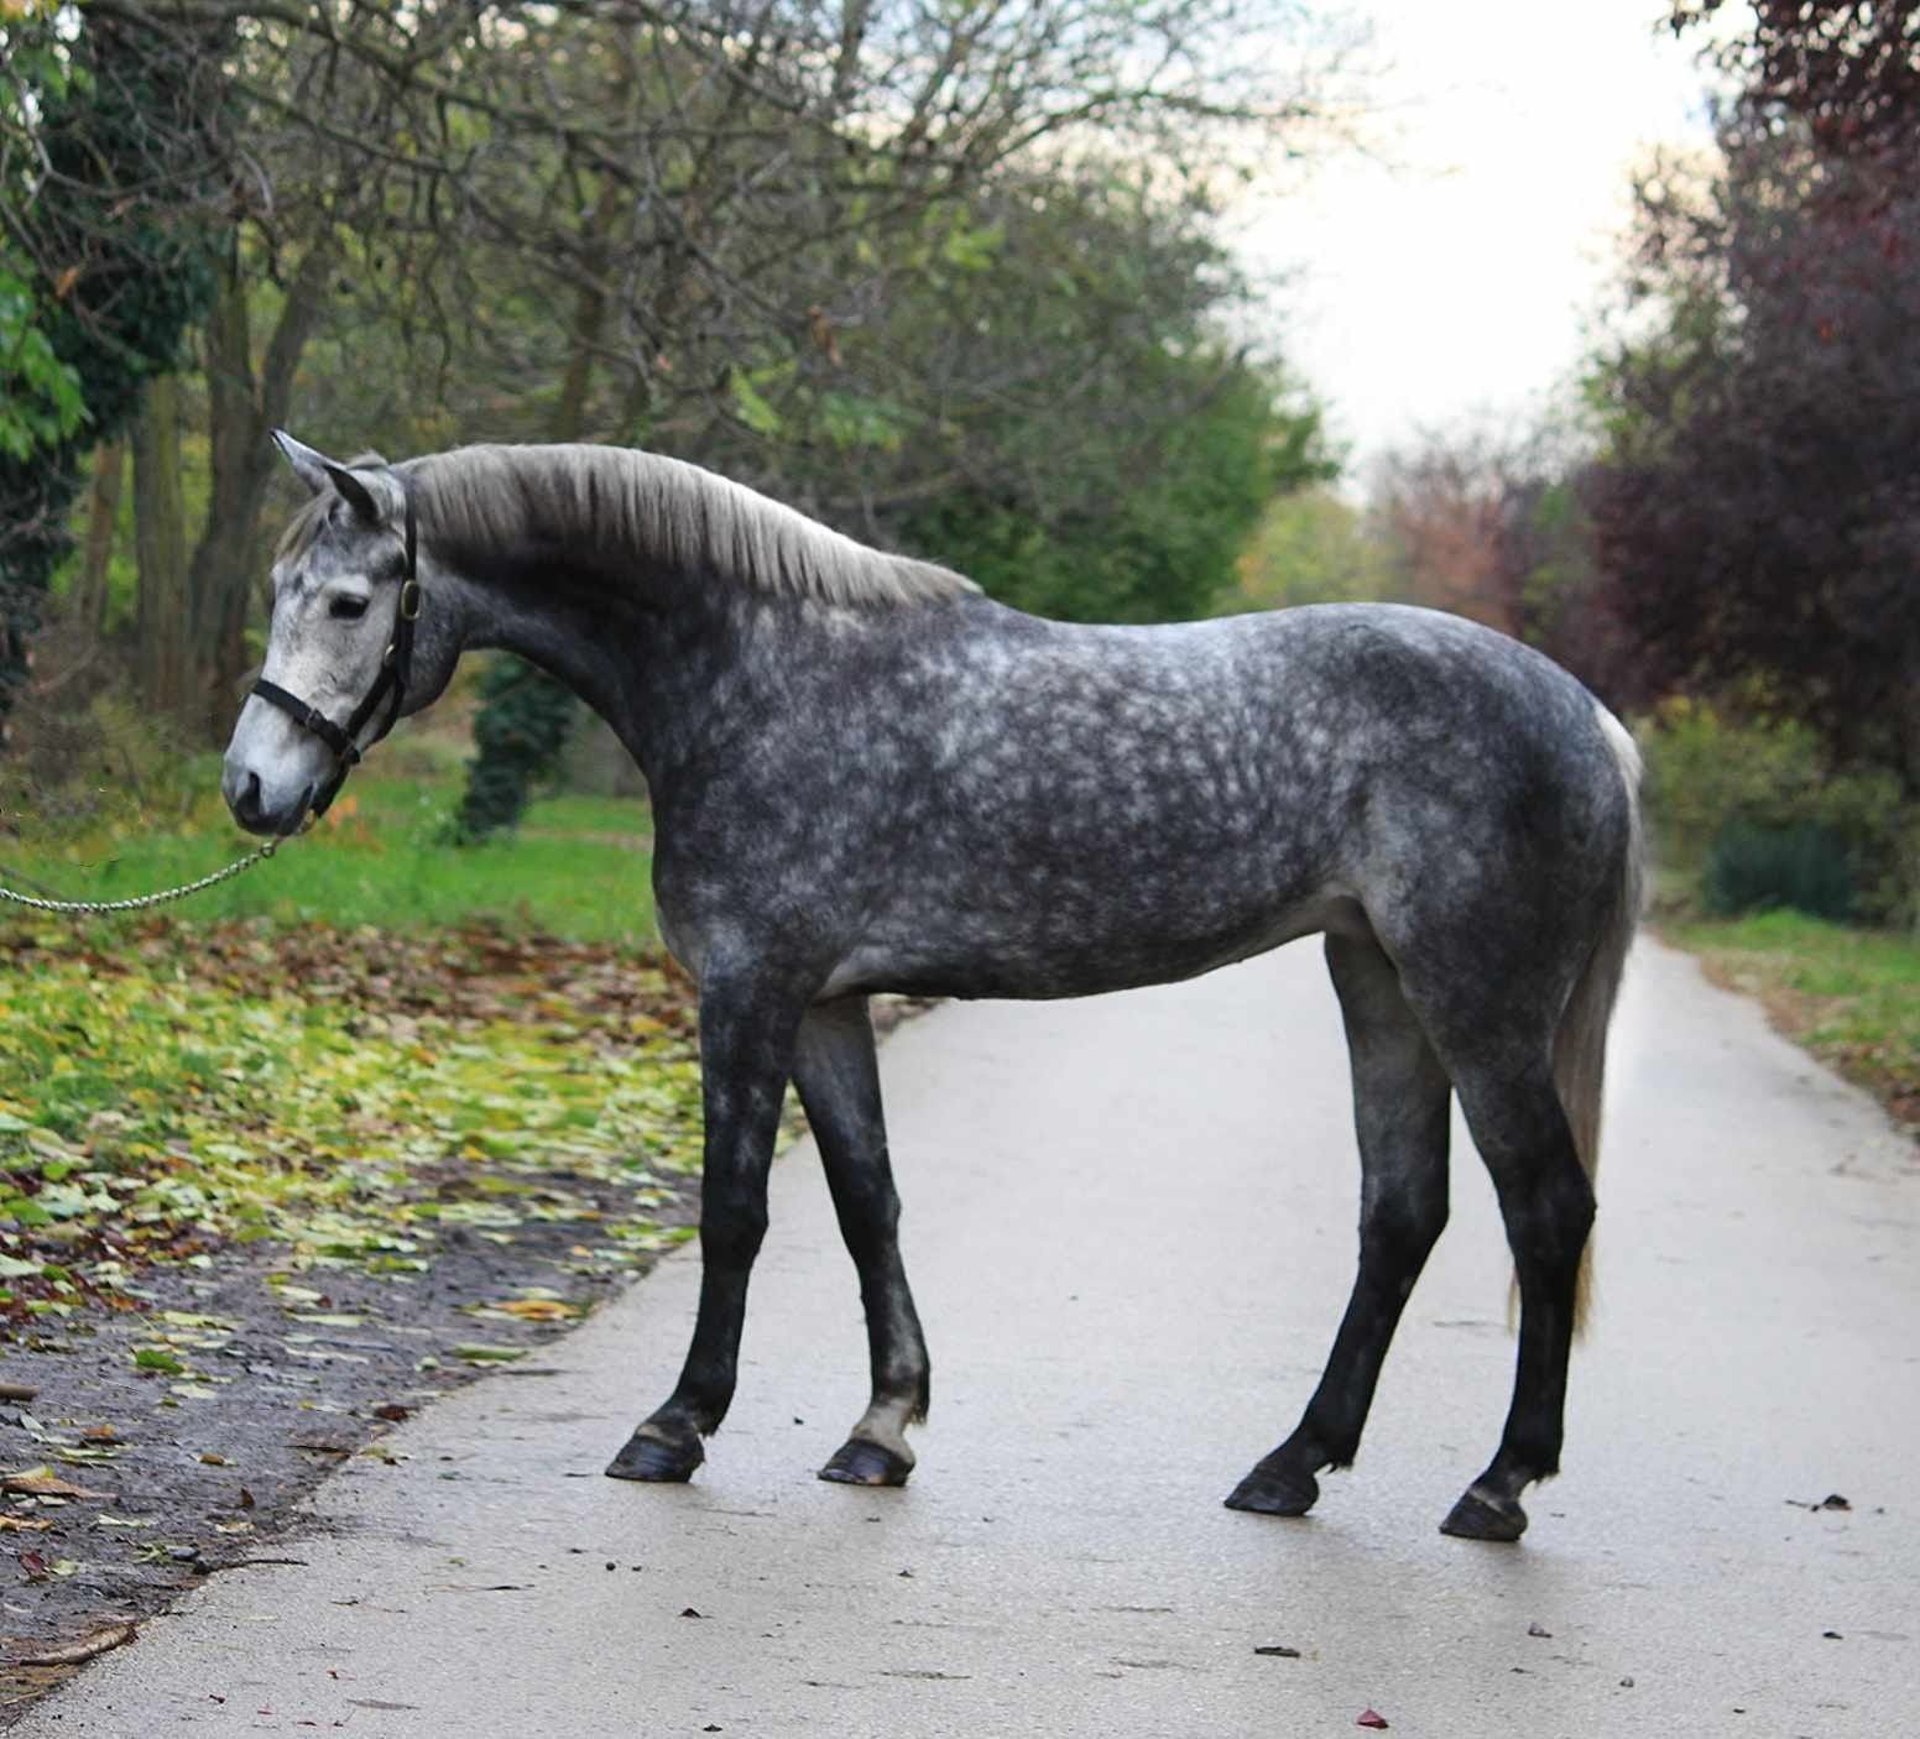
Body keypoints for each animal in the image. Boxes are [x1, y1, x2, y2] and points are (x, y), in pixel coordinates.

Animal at [223, 432, 1642, 1542]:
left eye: (346, 601)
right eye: (281, 587)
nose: (251, 787)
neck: (757, 671)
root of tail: (1592, 718)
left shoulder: (750, 989)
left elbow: (734, 1209)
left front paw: (677, 1423)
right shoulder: (825, 1003)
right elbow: (868, 1204)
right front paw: (881, 1428)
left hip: (1478, 1002)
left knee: (1547, 1210)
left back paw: (1499, 1485)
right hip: (1379, 979)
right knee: (1402, 1213)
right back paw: (1292, 1465)